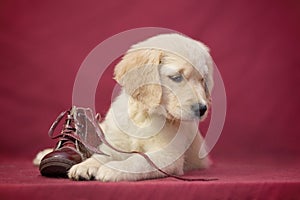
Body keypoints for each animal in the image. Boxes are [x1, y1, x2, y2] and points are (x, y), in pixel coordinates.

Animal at [68, 33, 213, 182]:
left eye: (202, 80)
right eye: (176, 77)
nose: (202, 109)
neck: (144, 115)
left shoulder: (168, 154)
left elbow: (138, 160)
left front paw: (112, 168)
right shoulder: (117, 144)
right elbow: (102, 155)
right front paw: (85, 165)